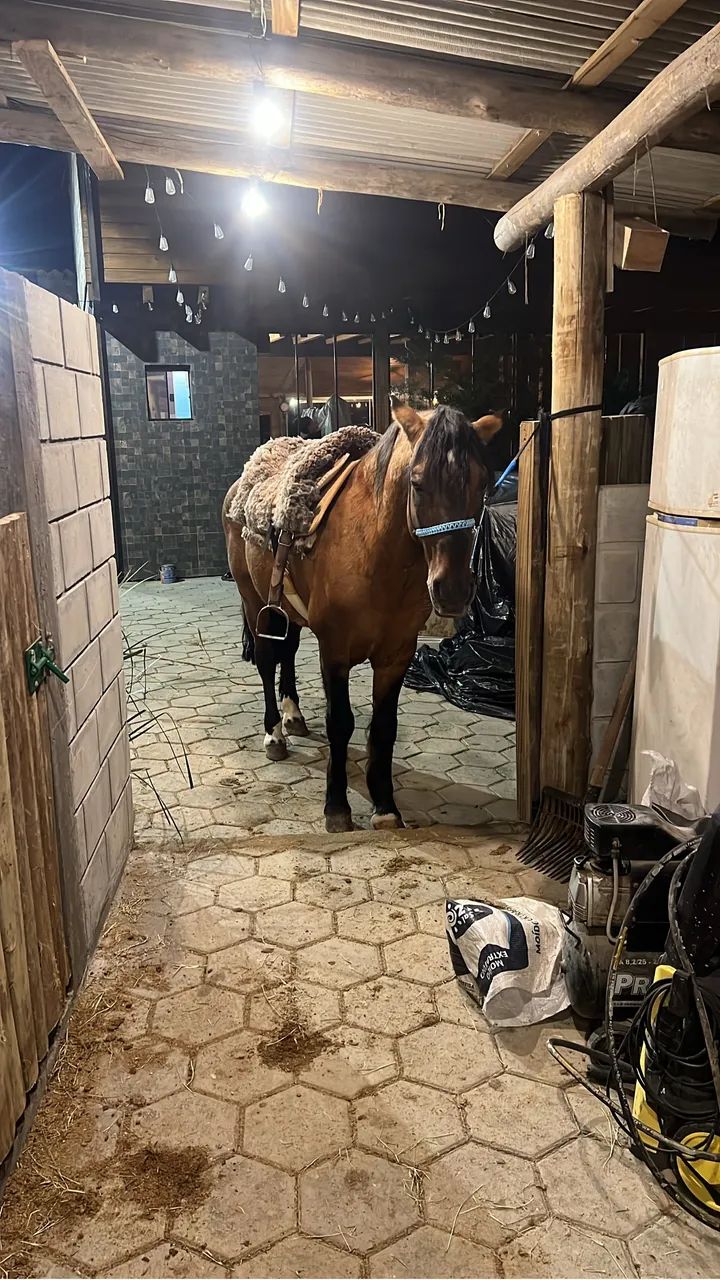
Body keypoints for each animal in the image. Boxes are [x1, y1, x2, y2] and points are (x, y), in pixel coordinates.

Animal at [223, 400, 502, 833]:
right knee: (269, 662)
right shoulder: (335, 651)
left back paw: (293, 716)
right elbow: (341, 723)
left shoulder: (396, 655)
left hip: (287, 612)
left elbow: (384, 728)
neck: (374, 550)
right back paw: (274, 735)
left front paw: (385, 806)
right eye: (417, 483)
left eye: (483, 483)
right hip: (257, 606)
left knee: (287, 655)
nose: (454, 589)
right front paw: (337, 807)